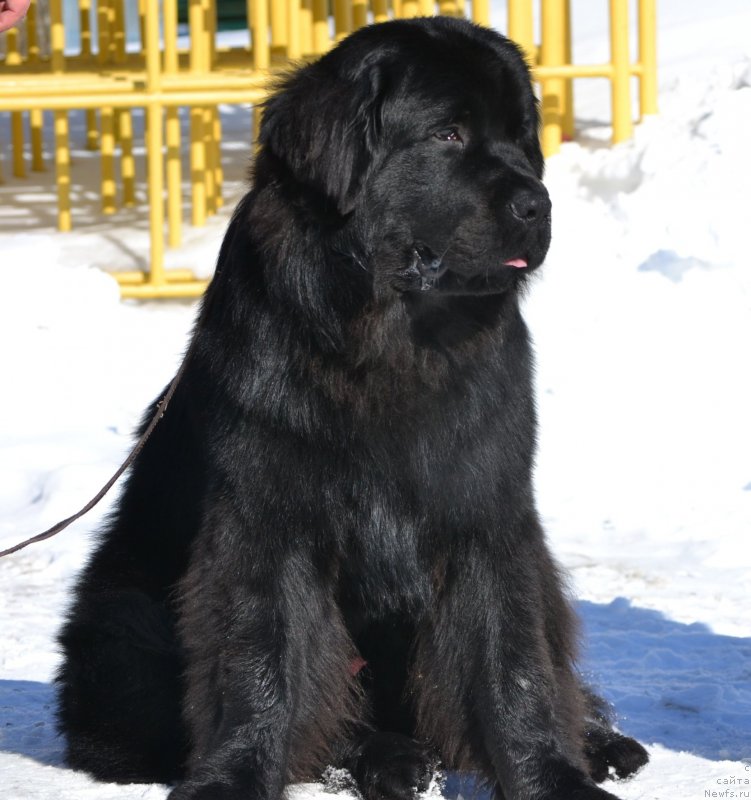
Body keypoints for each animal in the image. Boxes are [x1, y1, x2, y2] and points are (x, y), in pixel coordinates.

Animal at [55, 14, 648, 800]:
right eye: (448, 134)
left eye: (523, 135)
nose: (537, 203)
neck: (389, 341)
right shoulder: (266, 522)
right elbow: (262, 663)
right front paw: (233, 777)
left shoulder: (486, 515)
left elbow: (512, 661)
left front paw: (553, 775)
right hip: (117, 620)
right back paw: (386, 759)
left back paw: (595, 741)